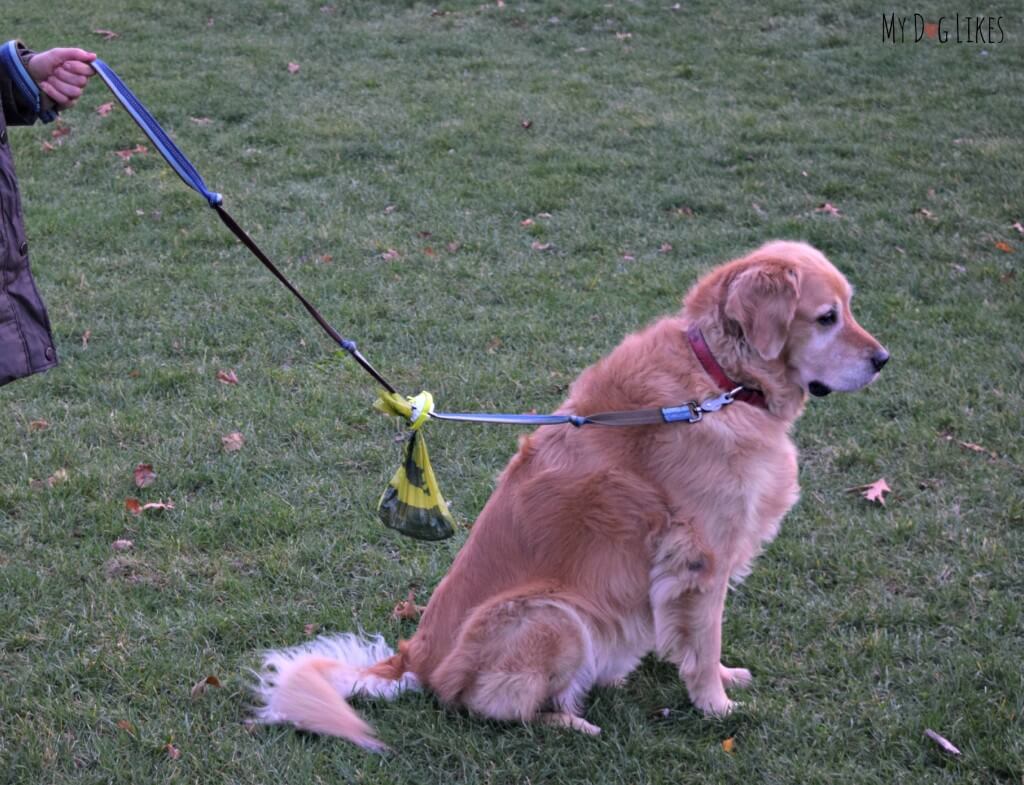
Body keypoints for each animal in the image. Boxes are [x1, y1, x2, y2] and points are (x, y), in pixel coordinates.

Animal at [256, 239, 888, 749]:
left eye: (849, 308)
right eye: (826, 318)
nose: (883, 360)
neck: (720, 382)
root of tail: (415, 658)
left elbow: (698, 641)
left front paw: (724, 680)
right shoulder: (700, 558)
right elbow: (704, 641)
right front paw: (715, 706)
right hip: (554, 615)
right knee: (488, 709)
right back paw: (570, 722)